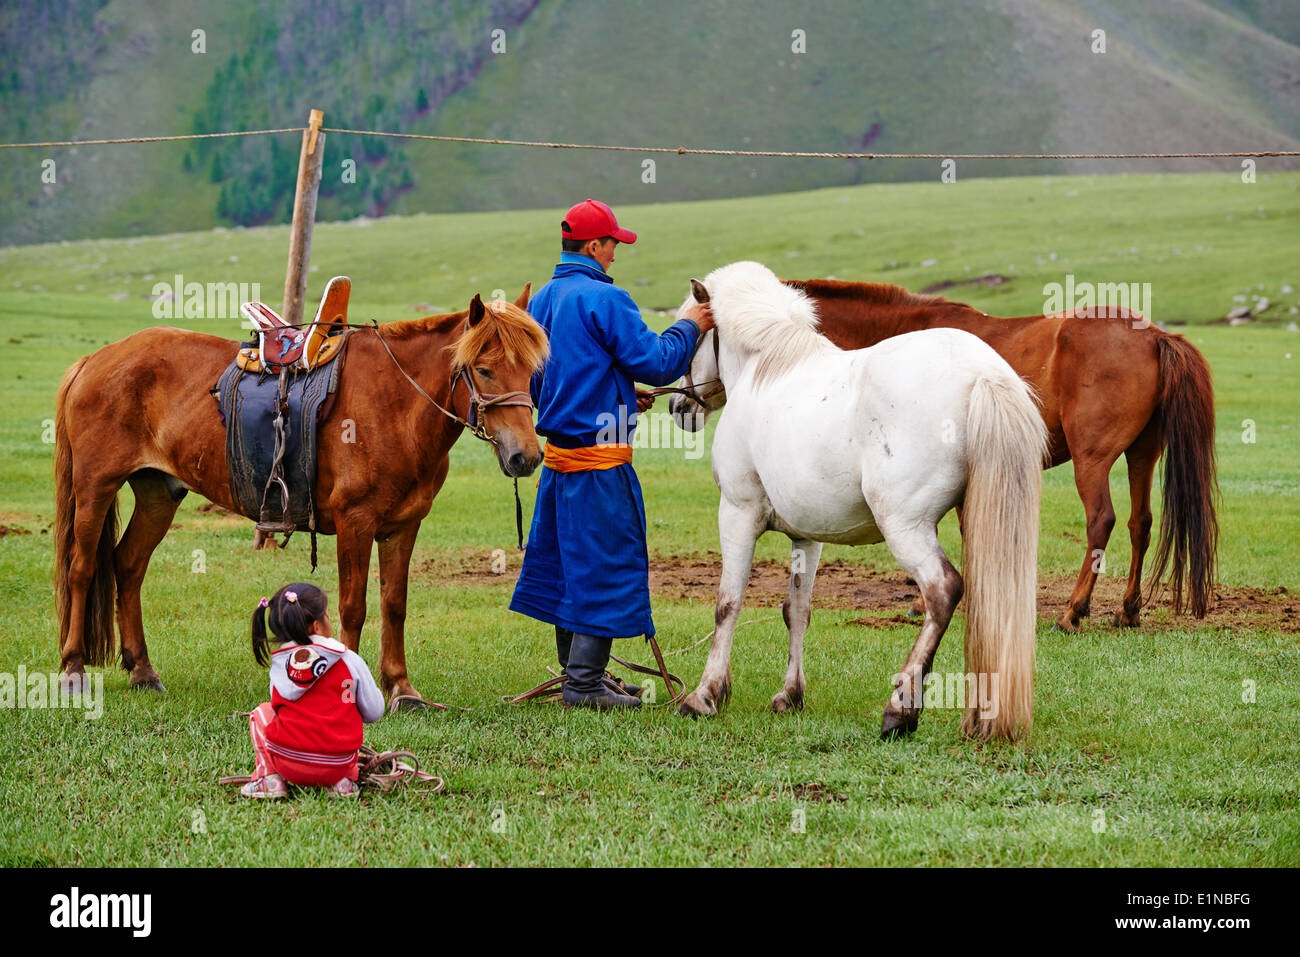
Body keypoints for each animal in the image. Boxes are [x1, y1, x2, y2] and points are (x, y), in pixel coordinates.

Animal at [52, 276, 543, 702]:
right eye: (484, 370)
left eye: (533, 371)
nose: (527, 456)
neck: (395, 402)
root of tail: (94, 361)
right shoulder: (355, 521)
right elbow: (353, 606)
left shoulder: (403, 526)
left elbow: (394, 604)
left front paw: (402, 689)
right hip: (96, 486)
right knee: (81, 568)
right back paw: (73, 668)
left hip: (159, 493)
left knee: (128, 565)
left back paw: (142, 670)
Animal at [670, 261, 1045, 738]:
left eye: (690, 334)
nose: (678, 408)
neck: (767, 370)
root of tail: (984, 373)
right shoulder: (807, 536)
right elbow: (797, 609)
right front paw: (790, 695)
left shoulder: (737, 513)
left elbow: (727, 604)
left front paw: (705, 695)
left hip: (906, 527)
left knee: (943, 591)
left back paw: (901, 709)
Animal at [785, 278, 1222, 629]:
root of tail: (1154, 336)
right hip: (1142, 454)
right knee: (1140, 524)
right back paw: (1128, 610)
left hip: (1092, 459)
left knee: (1102, 520)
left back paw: (1073, 611)